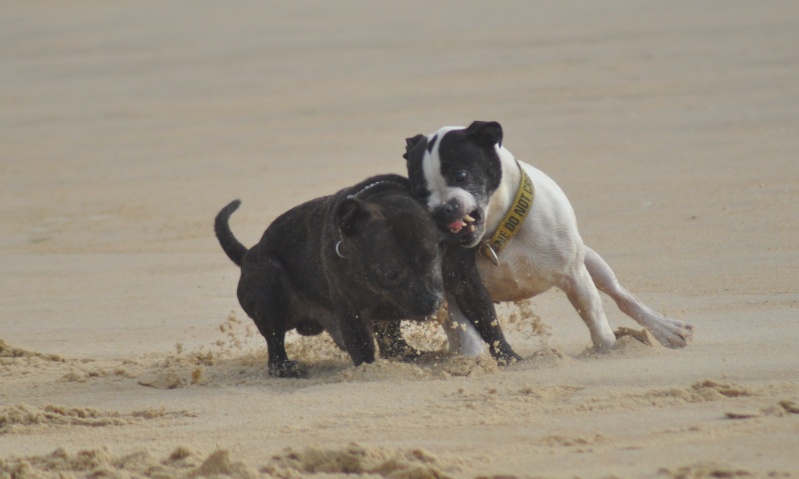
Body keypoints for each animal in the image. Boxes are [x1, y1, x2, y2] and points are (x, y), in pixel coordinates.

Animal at [216, 173, 446, 378]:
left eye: (432, 256)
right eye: (391, 274)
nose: (432, 301)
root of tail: (246, 255)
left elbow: (389, 334)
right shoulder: (351, 312)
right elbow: (362, 346)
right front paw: (368, 369)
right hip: (270, 283)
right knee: (275, 344)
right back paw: (285, 368)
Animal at [406, 123, 692, 356]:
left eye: (461, 175)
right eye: (420, 192)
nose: (443, 209)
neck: (498, 231)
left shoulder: (575, 275)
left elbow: (595, 319)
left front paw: (608, 350)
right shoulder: (460, 286)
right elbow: (468, 330)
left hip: (592, 261)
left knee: (621, 295)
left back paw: (664, 329)